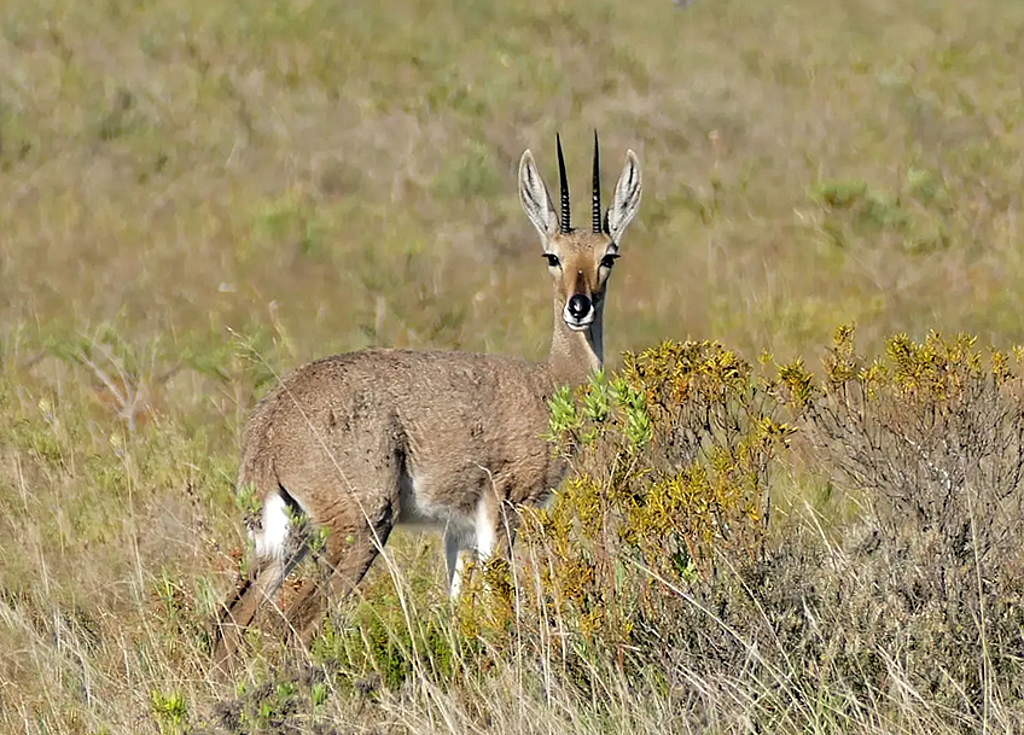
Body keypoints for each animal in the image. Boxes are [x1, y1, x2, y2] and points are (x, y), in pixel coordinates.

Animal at [212, 134, 643, 663]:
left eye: (609, 256)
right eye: (552, 256)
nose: (578, 307)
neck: (550, 383)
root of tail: (268, 424)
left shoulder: (457, 529)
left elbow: (459, 605)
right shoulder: (504, 509)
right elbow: (501, 596)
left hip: (285, 544)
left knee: (229, 626)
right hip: (362, 530)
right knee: (293, 626)